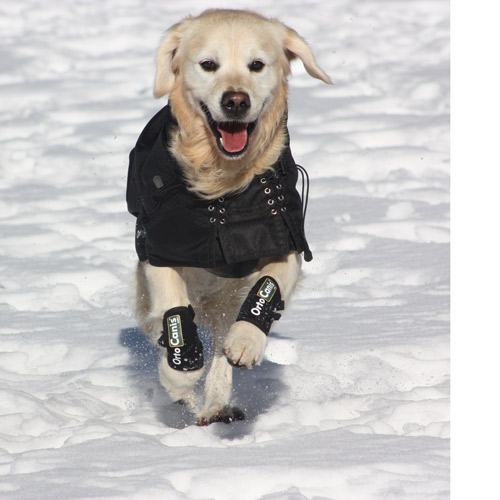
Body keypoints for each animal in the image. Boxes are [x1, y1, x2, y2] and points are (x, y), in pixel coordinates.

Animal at [127, 8, 330, 426]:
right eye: (208, 65)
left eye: (257, 65)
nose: (236, 101)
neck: (222, 186)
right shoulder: (159, 248)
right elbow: (173, 306)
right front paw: (179, 369)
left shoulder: (284, 235)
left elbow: (269, 284)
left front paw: (247, 341)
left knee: (221, 344)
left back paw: (217, 404)